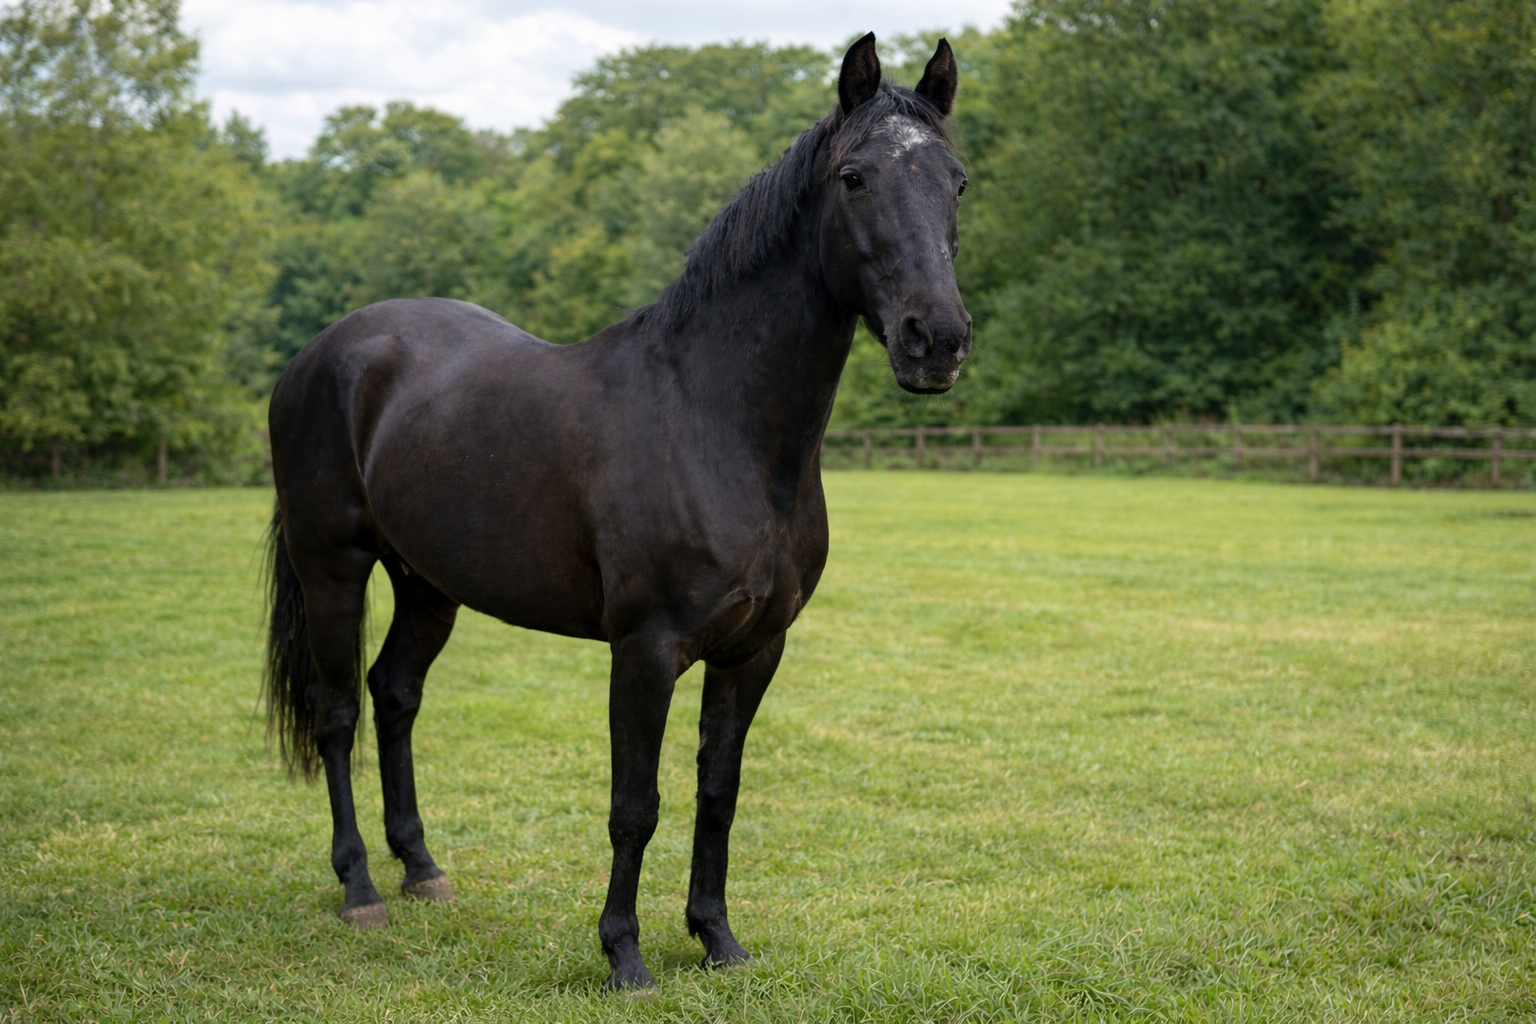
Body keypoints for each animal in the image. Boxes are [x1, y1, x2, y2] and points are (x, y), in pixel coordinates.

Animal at [262, 32, 970, 990]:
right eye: (855, 177)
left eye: (956, 181)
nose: (937, 341)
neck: (714, 421)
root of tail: (324, 353)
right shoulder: (644, 650)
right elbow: (635, 802)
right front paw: (624, 955)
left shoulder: (755, 650)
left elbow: (719, 793)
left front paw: (716, 939)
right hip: (332, 565)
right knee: (338, 713)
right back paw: (361, 889)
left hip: (427, 583)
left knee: (395, 695)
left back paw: (423, 870)